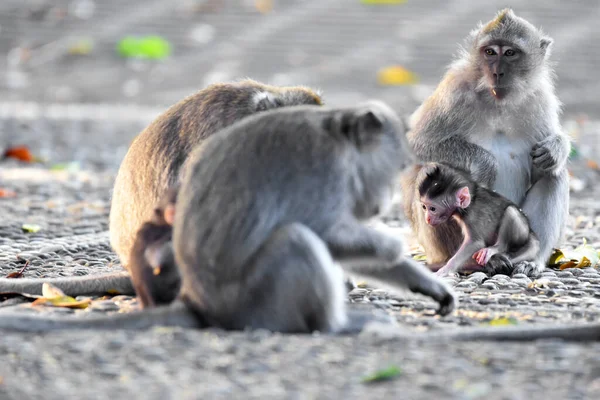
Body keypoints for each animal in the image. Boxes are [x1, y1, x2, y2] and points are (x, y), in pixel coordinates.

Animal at [0, 101, 460, 334]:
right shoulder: (322, 171)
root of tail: (199, 304)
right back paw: (337, 326)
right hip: (254, 299)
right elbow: (325, 230)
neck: (340, 142)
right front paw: (392, 242)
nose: (382, 203)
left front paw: (427, 284)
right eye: (394, 168)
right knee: (295, 240)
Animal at [404, 8, 568, 276]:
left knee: (553, 174)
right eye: (490, 52)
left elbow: (543, 163)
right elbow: (417, 144)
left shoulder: (540, 98)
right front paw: (485, 162)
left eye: (510, 53)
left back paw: (530, 259)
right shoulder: (454, 89)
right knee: (430, 171)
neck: (499, 101)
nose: (497, 73)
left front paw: (555, 148)